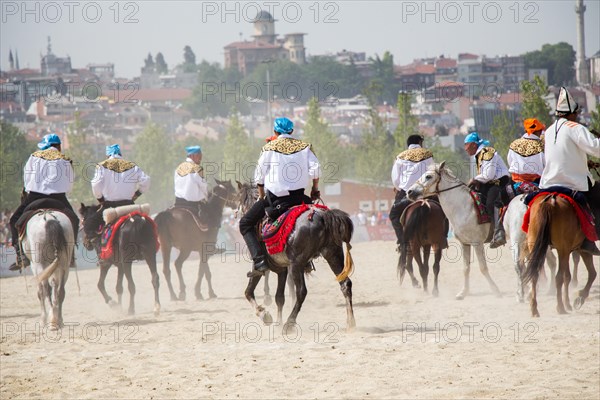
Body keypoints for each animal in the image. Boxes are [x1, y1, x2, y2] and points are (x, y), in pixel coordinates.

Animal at [408, 161, 502, 298]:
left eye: (428, 176)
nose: (409, 191)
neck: (464, 208)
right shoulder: (465, 243)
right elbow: (466, 268)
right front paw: (463, 292)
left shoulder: (477, 243)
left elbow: (483, 267)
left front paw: (495, 290)